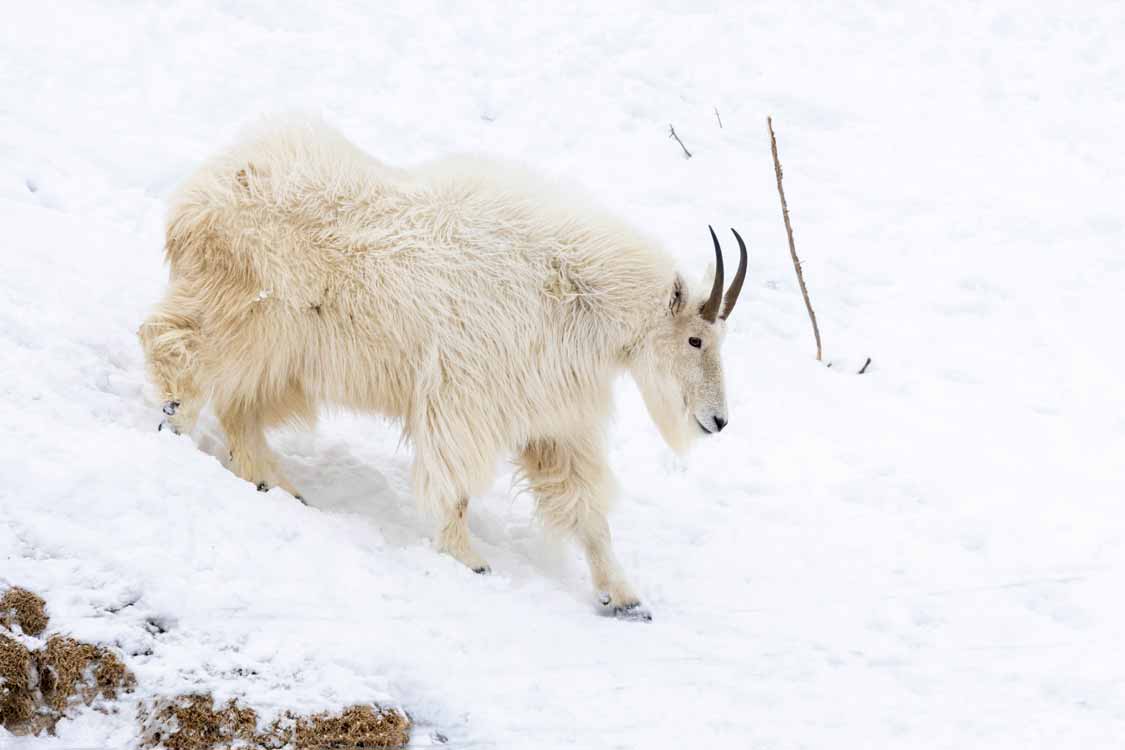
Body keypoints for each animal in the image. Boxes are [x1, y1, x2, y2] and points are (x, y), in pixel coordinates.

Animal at [140, 118, 747, 620]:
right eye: (695, 338)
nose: (717, 421)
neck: (573, 290)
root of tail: (194, 197)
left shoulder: (554, 418)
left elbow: (584, 505)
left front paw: (623, 597)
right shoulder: (465, 396)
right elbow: (454, 481)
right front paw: (469, 559)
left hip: (280, 357)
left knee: (238, 406)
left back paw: (277, 484)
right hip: (239, 313)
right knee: (173, 343)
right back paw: (175, 421)